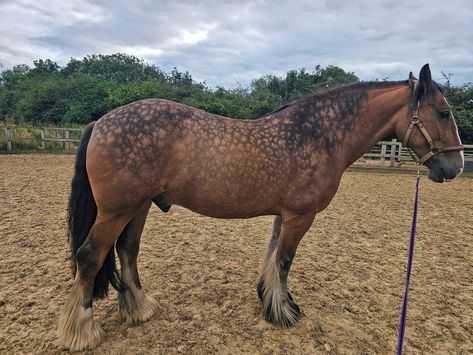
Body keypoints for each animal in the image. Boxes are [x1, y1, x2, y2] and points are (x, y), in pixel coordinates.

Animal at [58, 64, 460, 350]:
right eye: (443, 113)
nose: (455, 166)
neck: (316, 136)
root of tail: (102, 122)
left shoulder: (284, 215)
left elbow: (272, 257)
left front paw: (270, 302)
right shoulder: (300, 217)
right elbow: (283, 261)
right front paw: (282, 312)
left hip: (138, 207)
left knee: (127, 250)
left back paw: (139, 309)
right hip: (116, 210)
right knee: (90, 255)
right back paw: (82, 331)